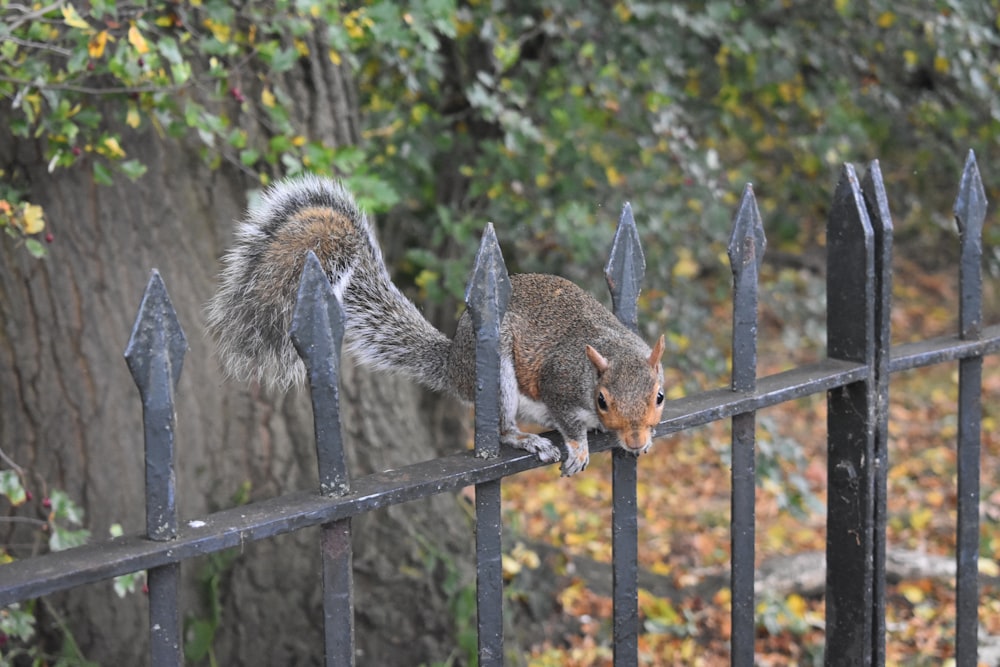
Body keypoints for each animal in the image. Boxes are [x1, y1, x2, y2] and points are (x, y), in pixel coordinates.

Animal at [205, 174, 664, 474]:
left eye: (659, 396)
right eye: (602, 400)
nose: (637, 440)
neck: (610, 351)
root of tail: (454, 364)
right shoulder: (560, 382)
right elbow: (569, 422)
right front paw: (579, 449)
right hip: (496, 377)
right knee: (501, 427)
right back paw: (525, 437)